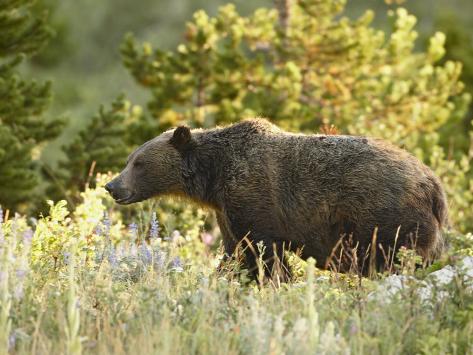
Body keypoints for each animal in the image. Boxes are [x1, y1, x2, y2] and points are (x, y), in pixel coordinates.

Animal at [106, 119, 446, 280]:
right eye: (130, 159)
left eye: (139, 163)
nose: (112, 186)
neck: (214, 177)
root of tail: (434, 184)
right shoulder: (227, 211)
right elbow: (234, 252)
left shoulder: (255, 198)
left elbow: (263, 253)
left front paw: (273, 281)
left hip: (386, 216)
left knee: (398, 258)